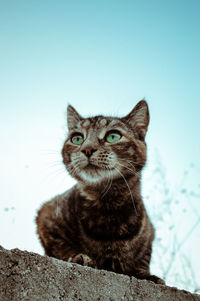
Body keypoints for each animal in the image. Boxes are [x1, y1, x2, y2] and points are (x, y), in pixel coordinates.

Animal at [36, 99, 164, 284]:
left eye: (113, 136)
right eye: (77, 138)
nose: (87, 149)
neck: (108, 207)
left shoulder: (150, 232)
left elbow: (143, 257)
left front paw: (146, 274)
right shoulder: (46, 215)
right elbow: (60, 246)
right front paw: (79, 257)